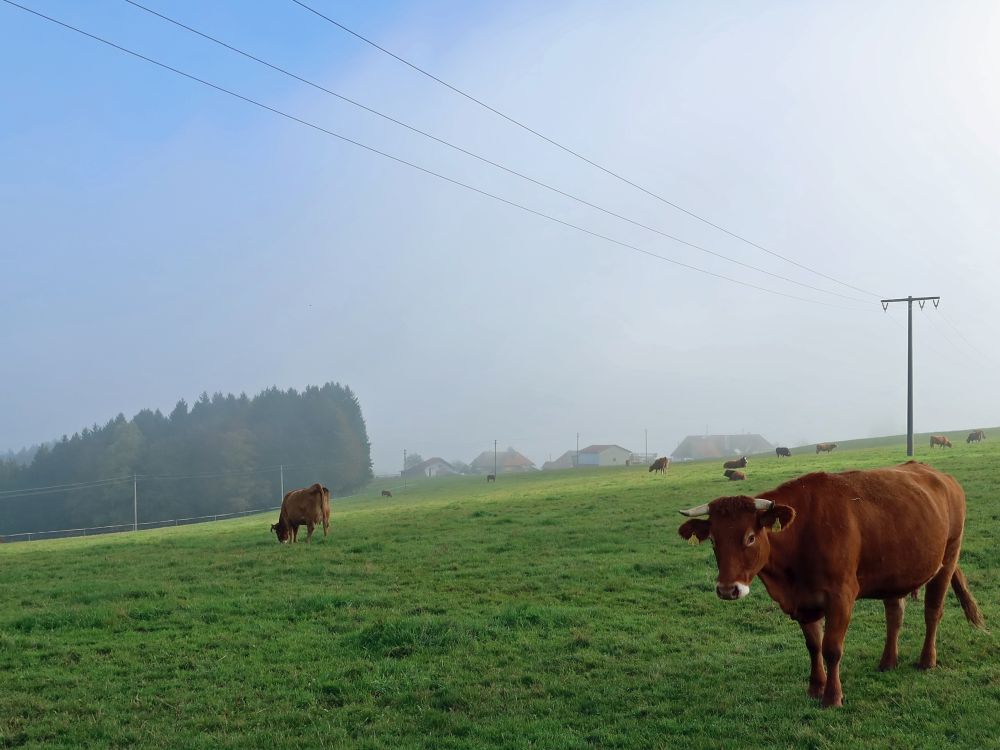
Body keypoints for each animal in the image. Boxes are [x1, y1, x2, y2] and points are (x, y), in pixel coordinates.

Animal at [676, 464, 980, 712]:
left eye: (750, 537)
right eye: (713, 540)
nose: (728, 590)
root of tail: (941, 476)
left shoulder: (841, 597)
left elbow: (832, 648)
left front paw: (833, 697)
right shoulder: (803, 600)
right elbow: (814, 645)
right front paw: (815, 687)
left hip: (947, 558)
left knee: (933, 611)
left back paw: (927, 660)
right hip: (895, 573)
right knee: (895, 615)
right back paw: (887, 662)